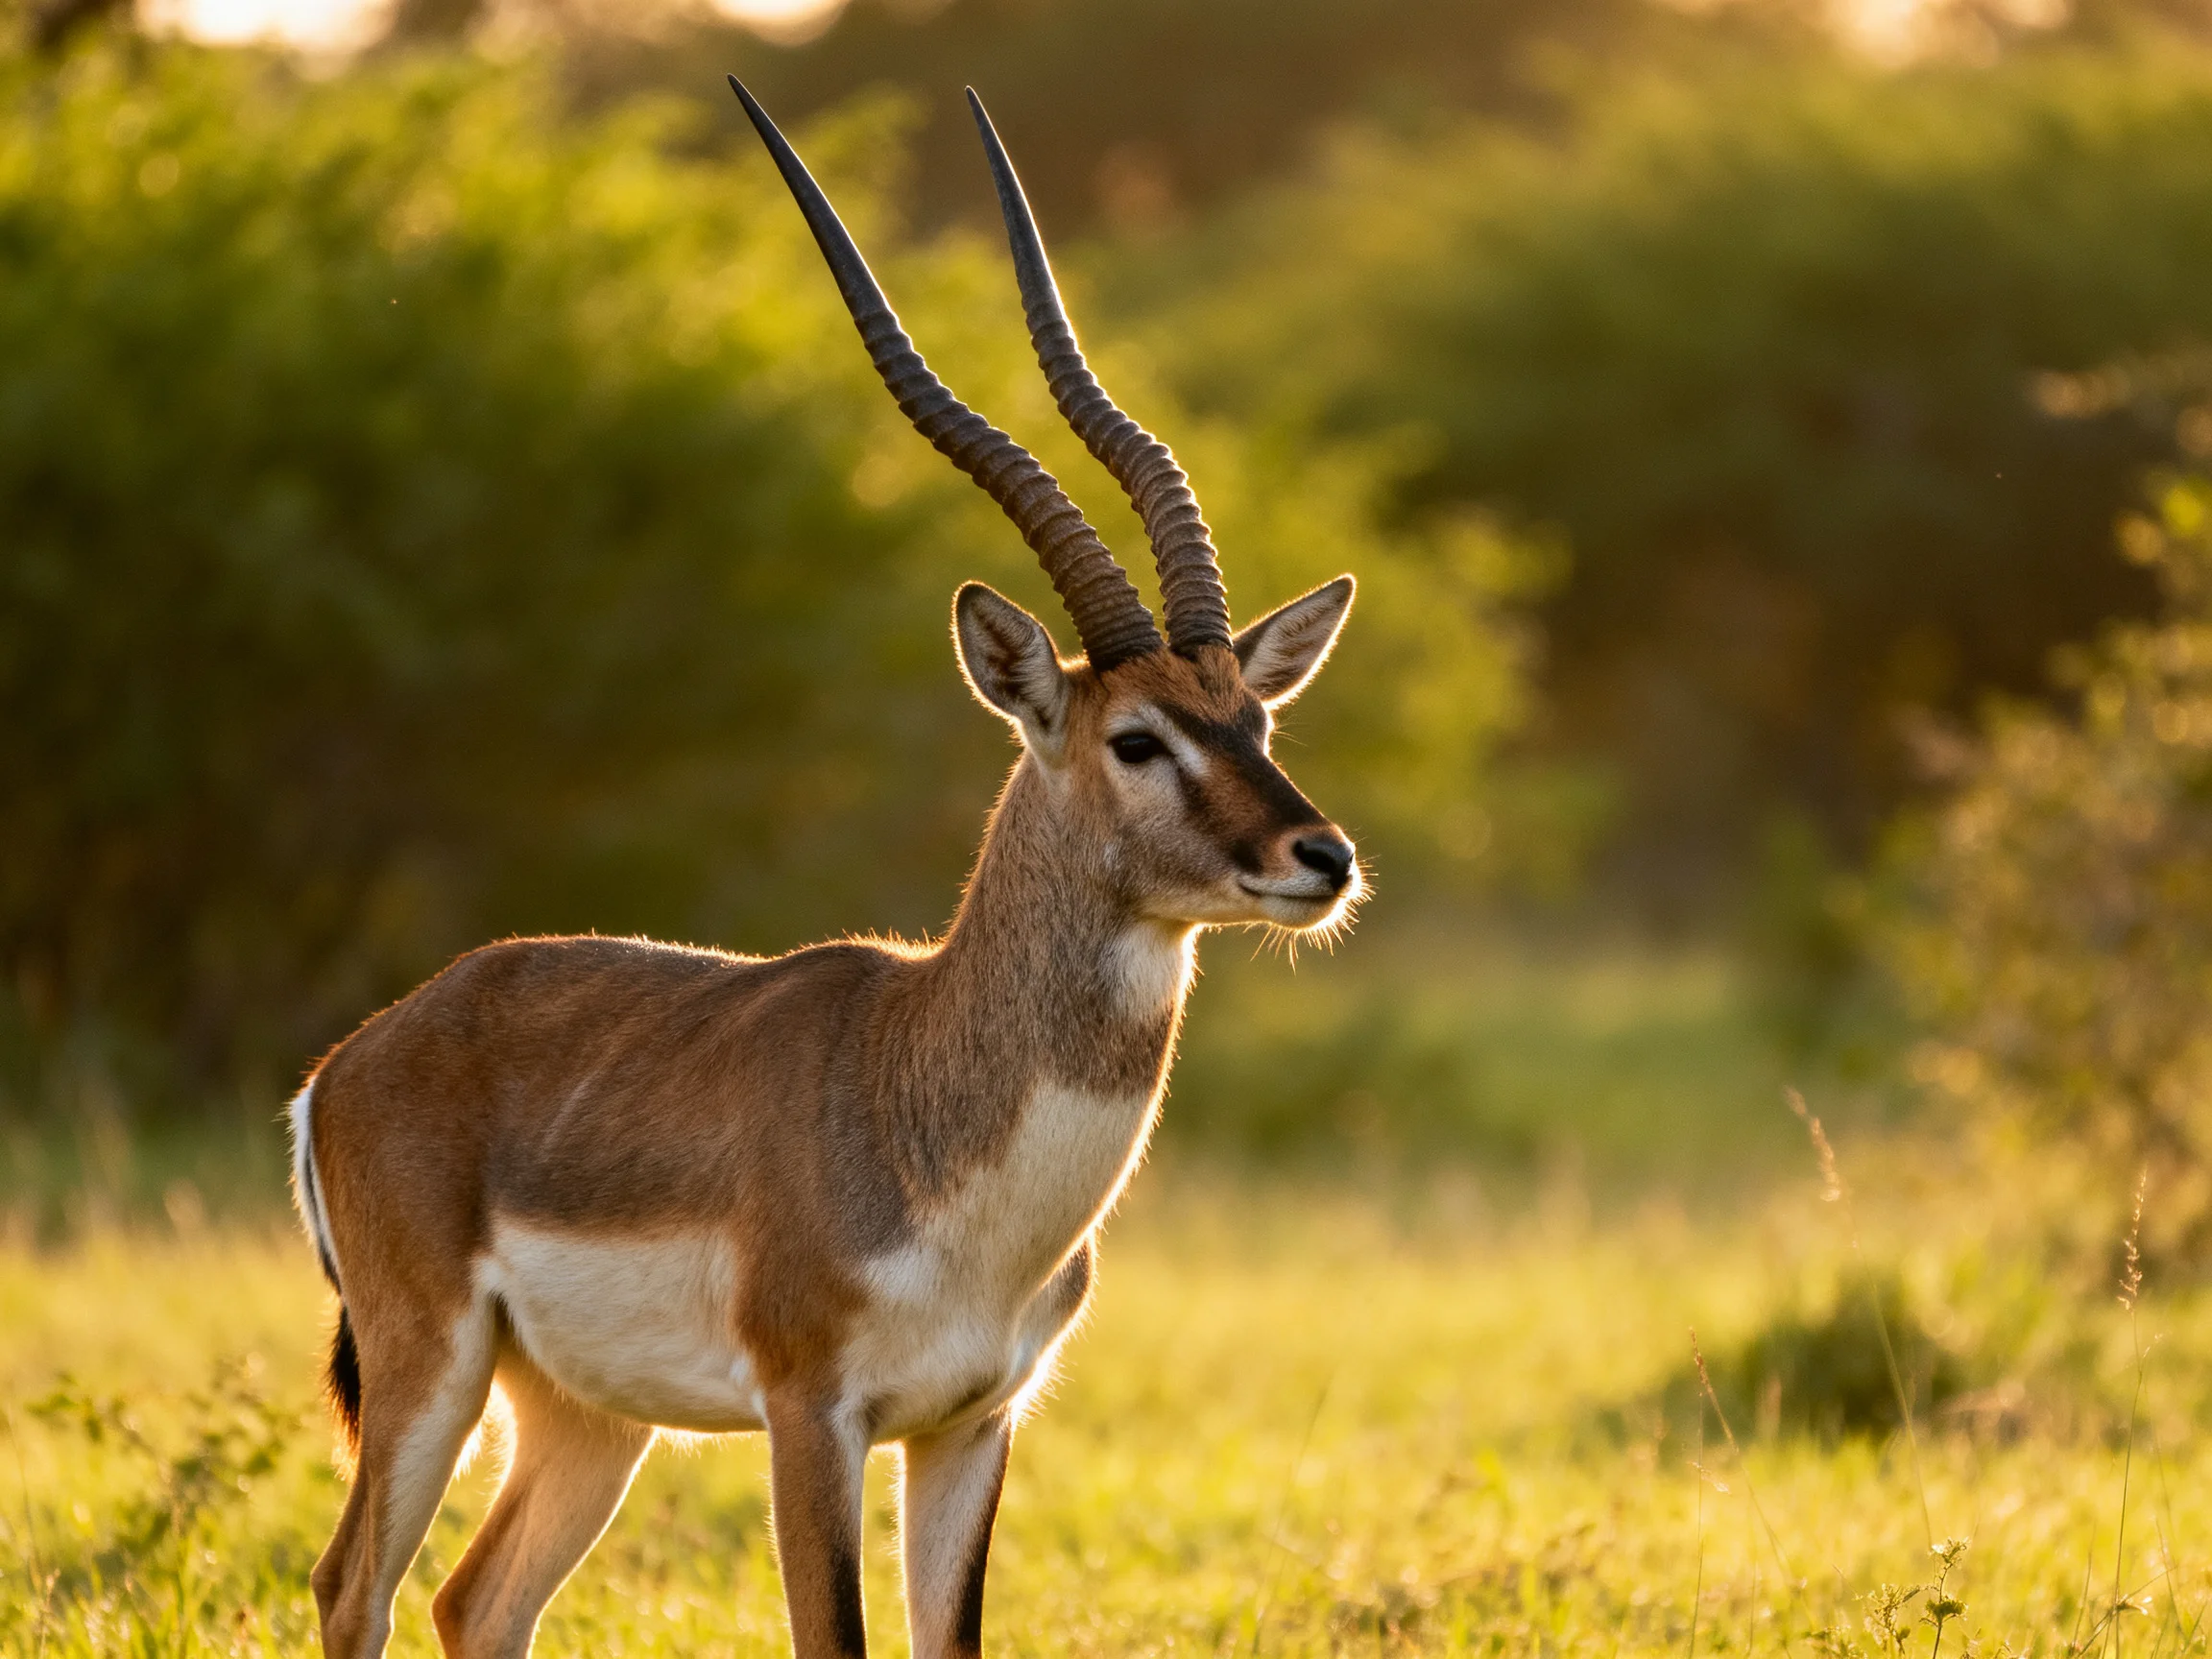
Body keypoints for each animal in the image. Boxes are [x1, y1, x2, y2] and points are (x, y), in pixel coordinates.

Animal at [289, 80, 1363, 1659]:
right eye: (1137, 737)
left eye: (1256, 717)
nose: (1320, 856)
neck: (932, 1093)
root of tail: (358, 1056)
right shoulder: (815, 1417)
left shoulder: (974, 1425)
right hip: (430, 1371)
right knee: (351, 1583)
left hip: (584, 1416)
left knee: (476, 1601)